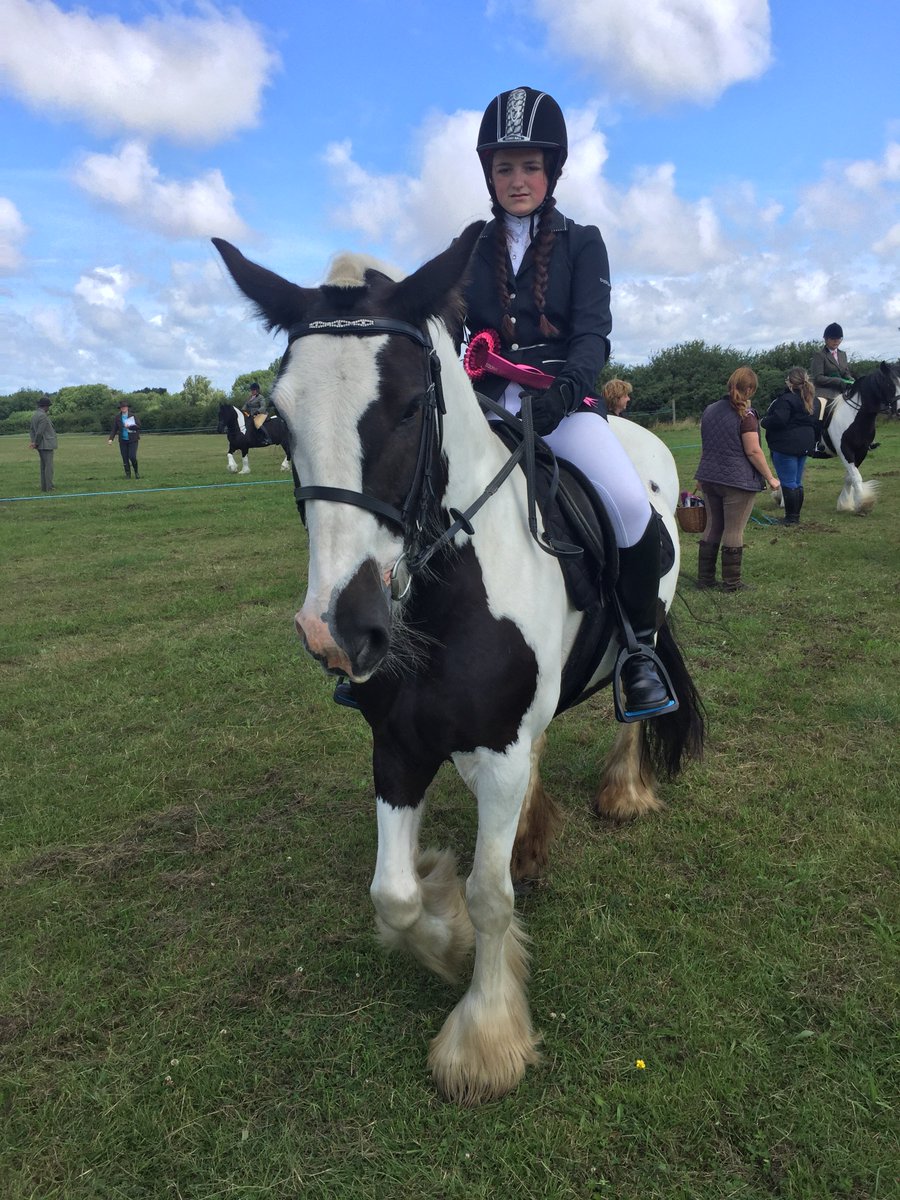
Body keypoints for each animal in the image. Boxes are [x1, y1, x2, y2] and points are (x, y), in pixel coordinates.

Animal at [212, 223, 704, 1106]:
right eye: (281, 422)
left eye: (411, 406)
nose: (339, 630)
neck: (450, 591)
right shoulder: (399, 747)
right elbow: (395, 895)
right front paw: (446, 942)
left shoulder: (497, 751)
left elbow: (489, 891)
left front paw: (482, 1040)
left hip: (641, 634)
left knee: (630, 708)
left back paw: (624, 792)